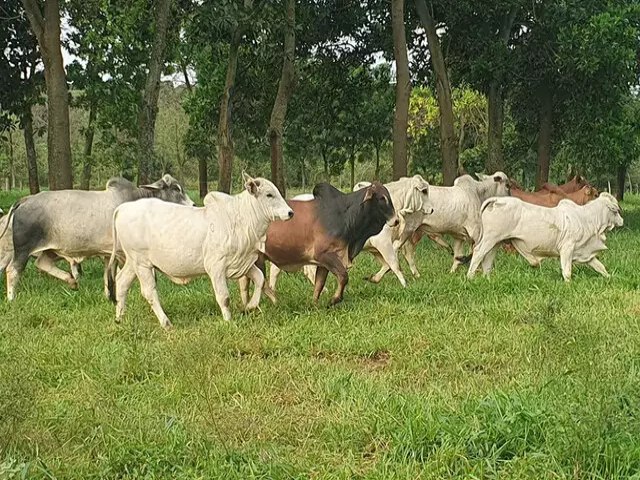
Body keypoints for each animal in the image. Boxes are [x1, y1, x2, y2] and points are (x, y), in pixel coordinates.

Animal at [1, 172, 194, 300]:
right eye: (176, 188)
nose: (193, 204)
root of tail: (24, 199)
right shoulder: (125, 253)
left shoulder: (109, 254)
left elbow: (109, 276)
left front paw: (109, 296)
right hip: (23, 249)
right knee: (13, 270)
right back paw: (11, 299)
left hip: (51, 250)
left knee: (42, 263)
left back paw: (72, 281)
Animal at [107, 174, 292, 328]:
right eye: (269, 194)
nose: (290, 212)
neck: (239, 219)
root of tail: (123, 208)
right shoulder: (216, 267)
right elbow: (224, 297)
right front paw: (228, 321)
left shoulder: (243, 263)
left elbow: (260, 279)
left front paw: (250, 306)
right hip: (142, 263)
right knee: (149, 292)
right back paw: (166, 323)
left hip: (133, 262)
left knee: (121, 282)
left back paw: (119, 318)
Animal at [468, 192, 624, 282]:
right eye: (616, 211)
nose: (622, 221)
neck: (588, 219)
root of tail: (497, 200)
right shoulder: (567, 249)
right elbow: (567, 271)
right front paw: (569, 284)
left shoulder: (585, 251)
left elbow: (600, 267)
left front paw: (610, 278)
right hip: (490, 239)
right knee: (478, 253)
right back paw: (470, 278)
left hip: (496, 242)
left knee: (487, 258)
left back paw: (487, 279)